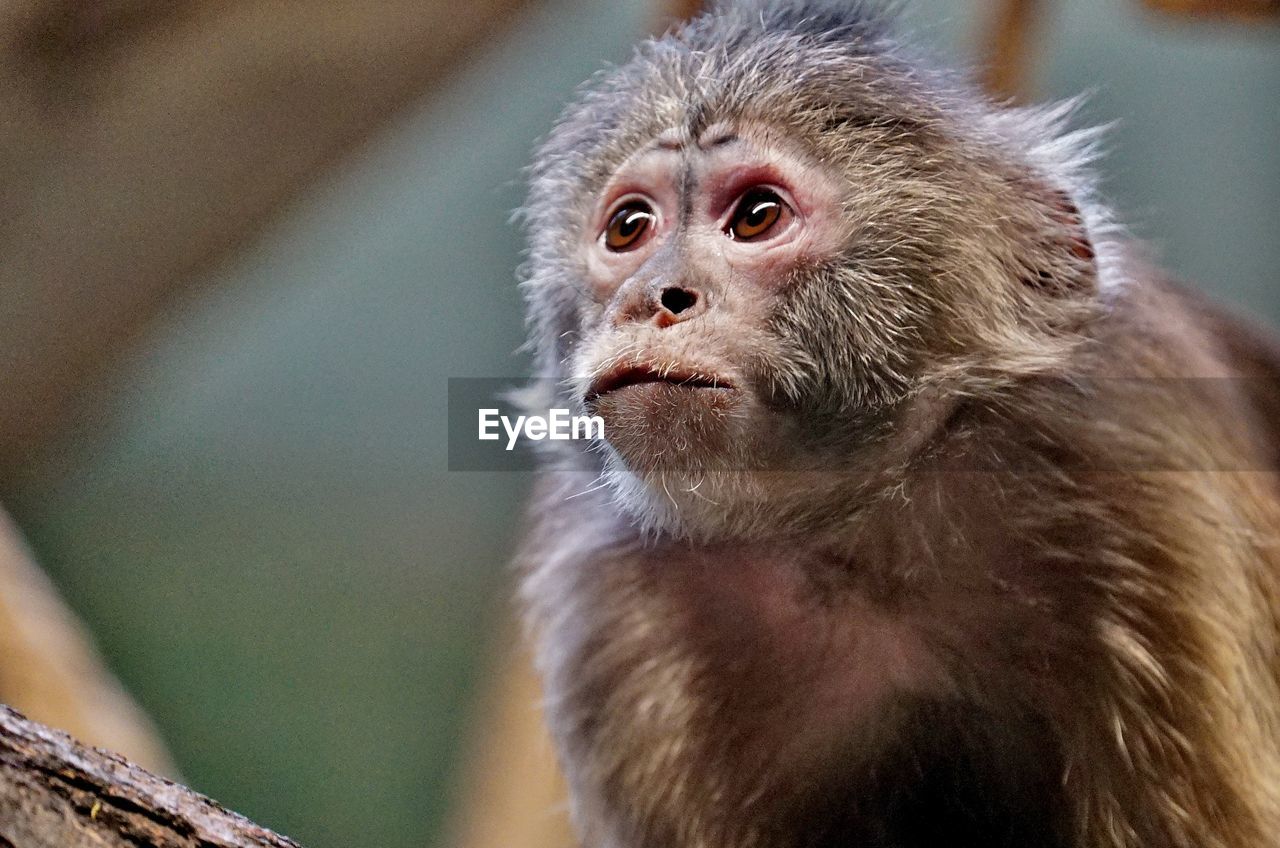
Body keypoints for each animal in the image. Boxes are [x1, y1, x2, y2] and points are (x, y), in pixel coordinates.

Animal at [504, 3, 1280, 845]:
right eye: (629, 229)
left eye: (757, 217)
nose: (654, 298)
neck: (862, 527)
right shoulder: (618, 613)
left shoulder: (1133, 479)